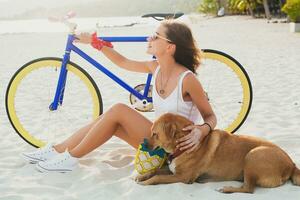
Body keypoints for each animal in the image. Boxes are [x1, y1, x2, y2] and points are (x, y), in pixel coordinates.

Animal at [136, 113, 300, 193]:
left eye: (155, 134)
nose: (143, 143)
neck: (180, 147)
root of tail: (292, 164)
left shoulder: (183, 177)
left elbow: (157, 177)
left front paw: (145, 182)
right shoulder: (173, 171)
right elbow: (156, 170)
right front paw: (142, 176)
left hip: (253, 155)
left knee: (249, 189)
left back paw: (225, 189)